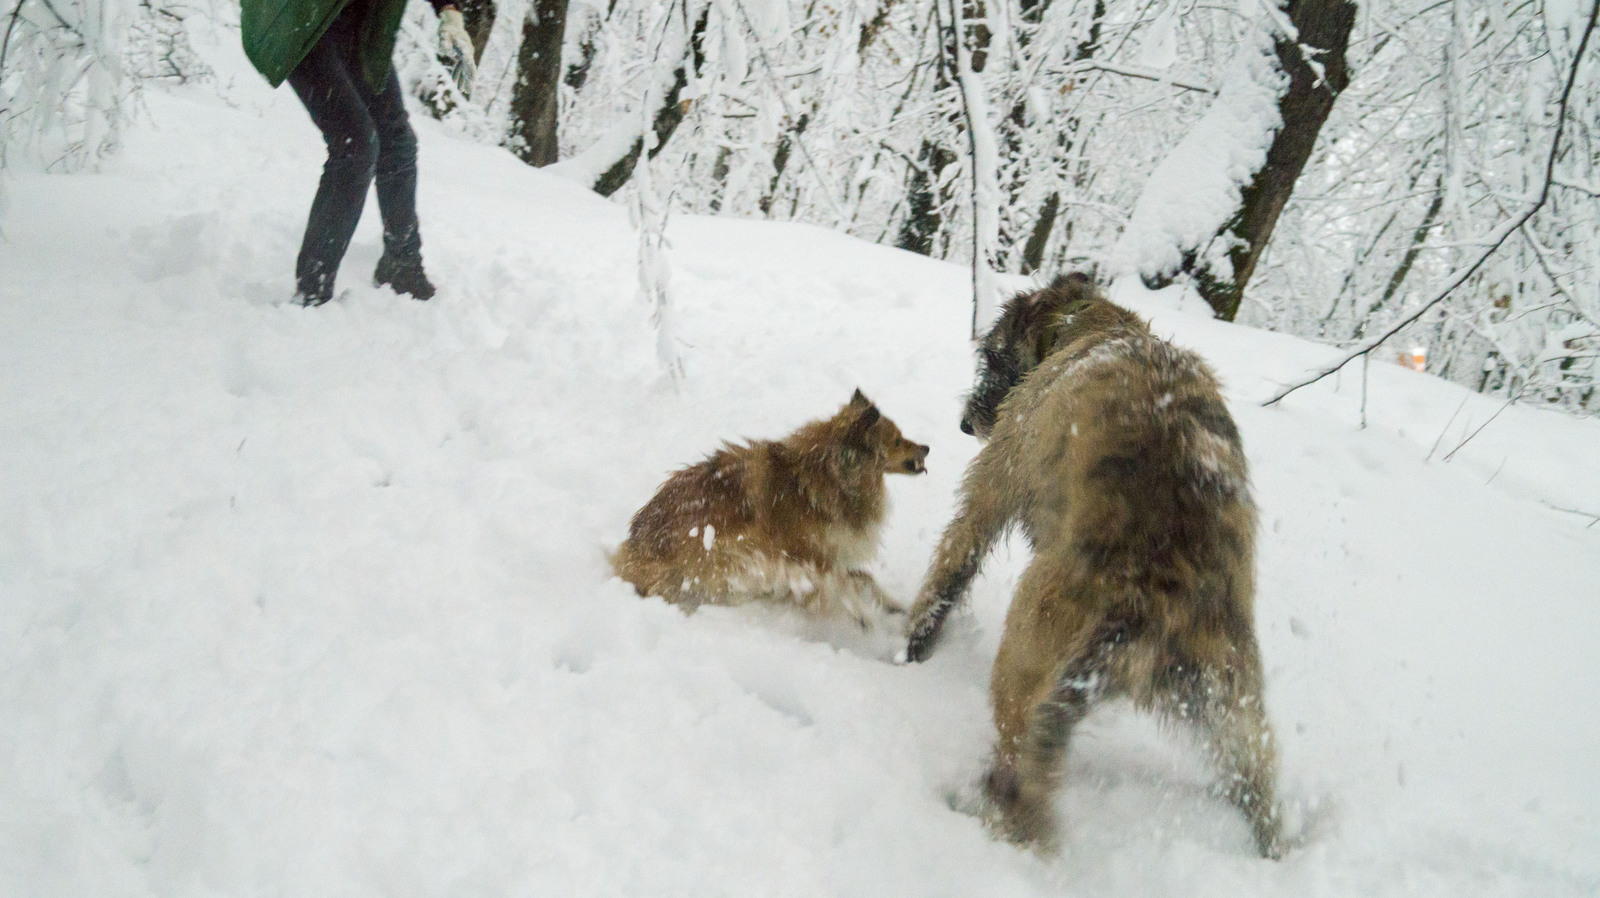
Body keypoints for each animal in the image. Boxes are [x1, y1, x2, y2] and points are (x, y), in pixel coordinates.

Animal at [614, 388, 934, 627]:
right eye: (897, 440)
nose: (927, 448)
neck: (830, 475)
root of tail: (630, 543)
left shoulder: (827, 553)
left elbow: (864, 577)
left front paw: (892, 604)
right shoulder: (798, 554)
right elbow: (839, 581)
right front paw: (862, 614)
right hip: (712, 561)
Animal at [908, 272, 1280, 851]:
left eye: (992, 356)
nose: (967, 423)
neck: (1089, 323)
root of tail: (1153, 609)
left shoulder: (996, 481)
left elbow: (954, 563)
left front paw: (913, 644)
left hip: (1029, 647)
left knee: (1018, 765)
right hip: (1236, 715)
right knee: (1259, 787)